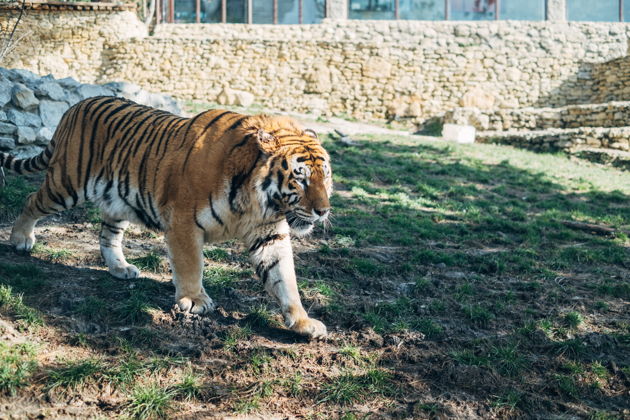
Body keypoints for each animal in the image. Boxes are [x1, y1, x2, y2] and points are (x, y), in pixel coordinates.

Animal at [0, 97, 334, 340]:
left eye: (326, 176)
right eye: (300, 178)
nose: (323, 210)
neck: (257, 202)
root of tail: (76, 106)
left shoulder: (269, 233)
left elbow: (284, 279)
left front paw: (303, 322)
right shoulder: (184, 223)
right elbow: (191, 265)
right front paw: (195, 301)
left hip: (117, 200)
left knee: (107, 234)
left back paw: (120, 269)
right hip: (66, 185)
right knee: (31, 201)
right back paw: (20, 240)